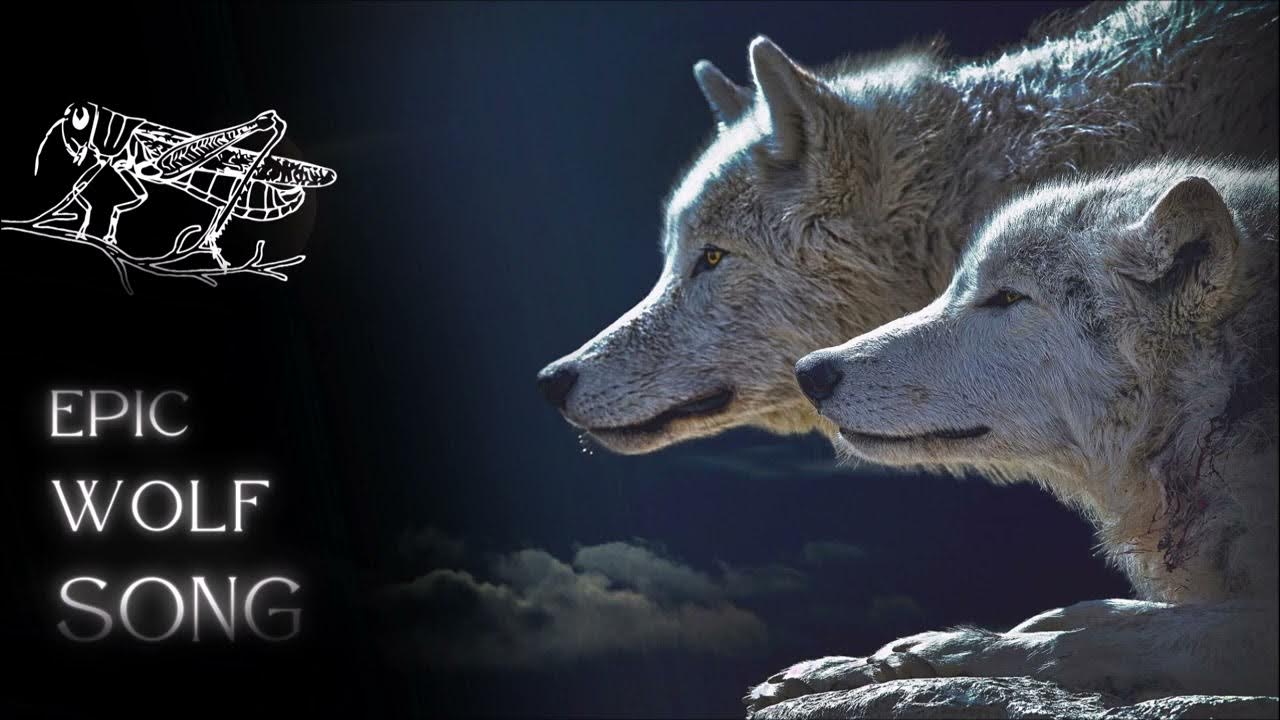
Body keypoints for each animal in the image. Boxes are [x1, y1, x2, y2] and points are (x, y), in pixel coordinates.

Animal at [747, 159, 1279, 711]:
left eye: (1007, 297)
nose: (810, 371)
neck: (1222, 407)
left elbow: (1096, 639)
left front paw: (943, 651)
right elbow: (1110, 614)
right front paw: (840, 667)